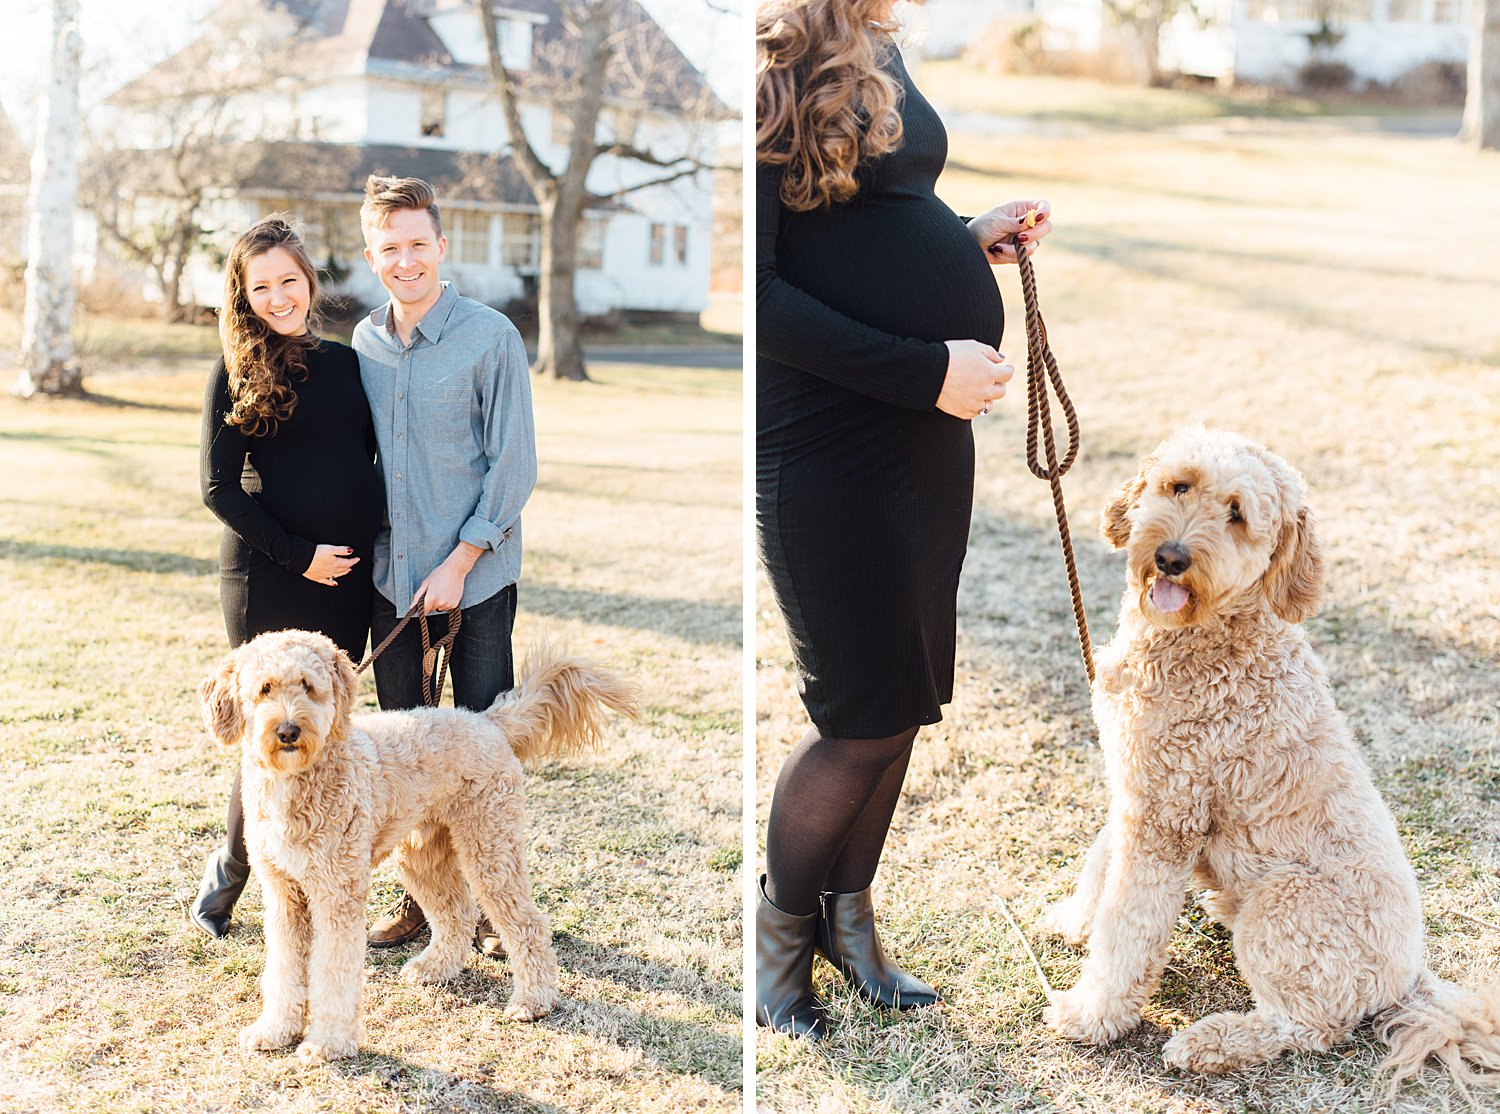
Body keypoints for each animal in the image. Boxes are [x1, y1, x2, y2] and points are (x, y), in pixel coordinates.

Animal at [198, 626, 633, 1061]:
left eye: (308, 686)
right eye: (265, 689)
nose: (288, 731)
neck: (300, 780)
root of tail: (486, 721)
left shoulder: (336, 893)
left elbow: (334, 970)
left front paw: (327, 1043)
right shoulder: (284, 894)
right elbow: (283, 968)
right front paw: (275, 1030)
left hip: (489, 847)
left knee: (528, 924)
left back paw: (534, 1000)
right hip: (422, 855)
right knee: (457, 913)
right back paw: (435, 968)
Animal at [1044, 428, 1500, 1097]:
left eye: (1237, 515)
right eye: (1179, 486)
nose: (1172, 557)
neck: (1210, 634)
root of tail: (1411, 978)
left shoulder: (1168, 815)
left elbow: (1129, 927)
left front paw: (1091, 1014)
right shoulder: (1140, 783)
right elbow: (1103, 863)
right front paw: (1076, 921)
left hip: (1282, 900)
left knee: (1307, 1027)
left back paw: (1210, 1043)